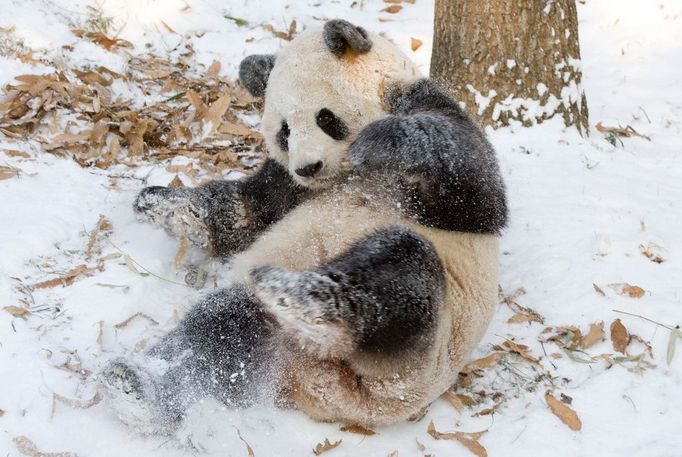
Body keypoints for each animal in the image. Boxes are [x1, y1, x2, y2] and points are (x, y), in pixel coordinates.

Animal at [101, 19, 504, 432]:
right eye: (284, 132)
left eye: (325, 118)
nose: (308, 167)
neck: (340, 175)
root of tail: (335, 397)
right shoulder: (289, 185)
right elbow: (247, 210)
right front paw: (169, 207)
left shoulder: (425, 118)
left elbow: (474, 190)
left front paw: (381, 139)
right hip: (275, 337)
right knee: (221, 331)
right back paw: (137, 391)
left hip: (422, 355)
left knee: (402, 270)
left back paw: (307, 298)